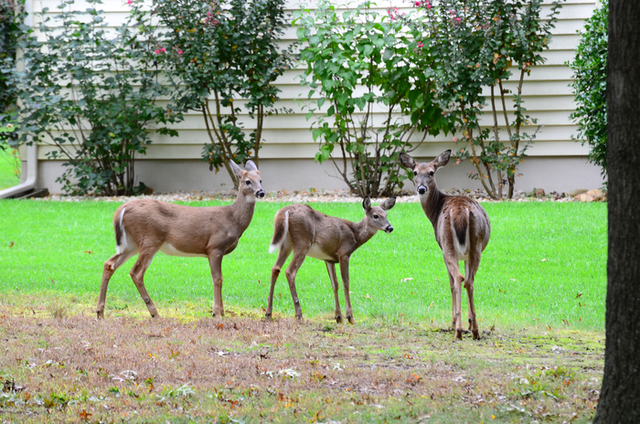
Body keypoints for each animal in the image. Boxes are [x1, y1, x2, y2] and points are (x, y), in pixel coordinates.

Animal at [95, 161, 264, 320]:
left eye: (261, 180)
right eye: (248, 181)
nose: (261, 192)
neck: (233, 219)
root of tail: (121, 209)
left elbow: (219, 278)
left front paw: (221, 312)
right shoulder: (215, 247)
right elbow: (217, 278)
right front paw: (217, 313)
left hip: (132, 243)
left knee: (109, 264)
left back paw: (100, 312)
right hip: (150, 239)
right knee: (136, 272)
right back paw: (155, 313)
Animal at [264, 197, 396, 322]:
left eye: (386, 215)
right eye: (376, 216)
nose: (390, 227)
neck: (356, 235)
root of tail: (285, 211)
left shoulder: (329, 259)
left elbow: (335, 284)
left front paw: (338, 316)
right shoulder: (344, 253)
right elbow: (346, 282)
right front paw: (350, 317)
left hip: (286, 243)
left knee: (275, 268)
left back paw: (268, 313)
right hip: (303, 242)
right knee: (289, 272)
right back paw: (299, 314)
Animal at [400, 151, 490, 340]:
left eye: (432, 172)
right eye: (415, 172)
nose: (421, 189)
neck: (435, 210)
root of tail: (461, 212)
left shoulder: (443, 248)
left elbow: (450, 284)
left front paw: (455, 322)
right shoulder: (465, 255)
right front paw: (468, 322)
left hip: (447, 246)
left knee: (458, 279)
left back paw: (457, 330)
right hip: (475, 246)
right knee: (469, 281)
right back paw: (475, 330)